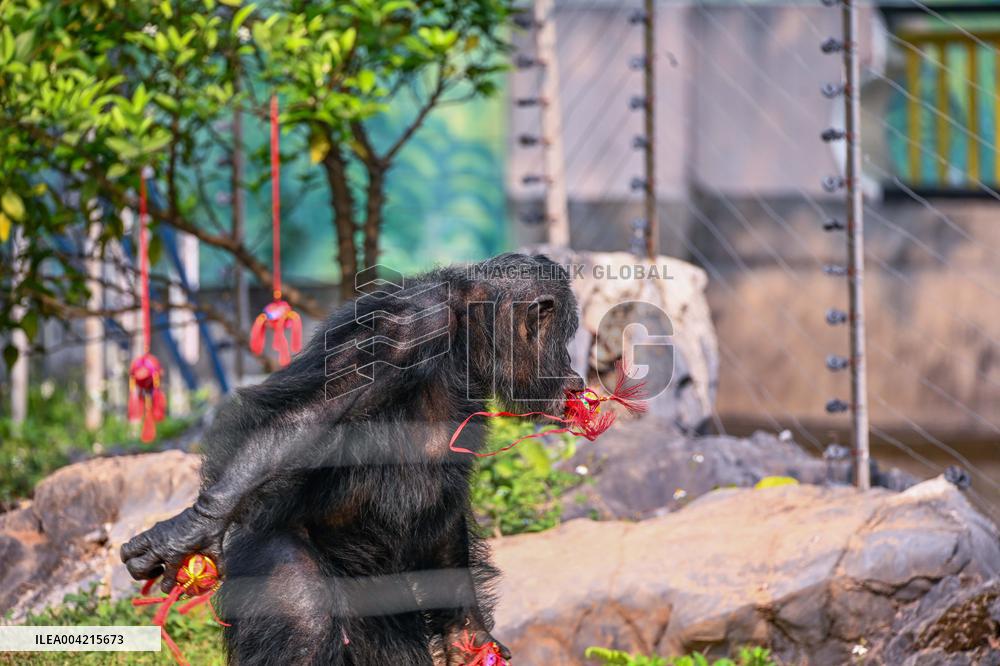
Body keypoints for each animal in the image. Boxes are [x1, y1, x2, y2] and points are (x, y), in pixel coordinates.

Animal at [121, 253, 584, 665]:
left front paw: (466, 633)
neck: (465, 330)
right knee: (303, 625)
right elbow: (309, 416)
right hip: (272, 562)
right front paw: (192, 529)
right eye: (563, 338)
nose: (571, 368)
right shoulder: (406, 329)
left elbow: (444, 504)